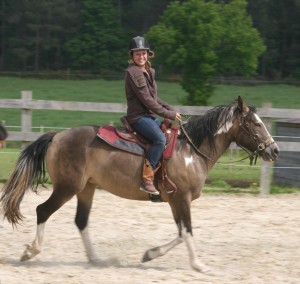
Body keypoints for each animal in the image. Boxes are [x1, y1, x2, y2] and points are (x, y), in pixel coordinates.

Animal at [0, 96, 278, 272]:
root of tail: (57, 135)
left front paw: (150, 254)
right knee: (43, 211)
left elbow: (181, 233)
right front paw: (198, 265)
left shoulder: (175, 200)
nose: (274, 150)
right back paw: (31, 252)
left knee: (81, 221)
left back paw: (97, 259)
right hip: (67, 188)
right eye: (256, 124)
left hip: (86, 189)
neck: (190, 151)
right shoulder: (182, 199)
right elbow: (187, 232)